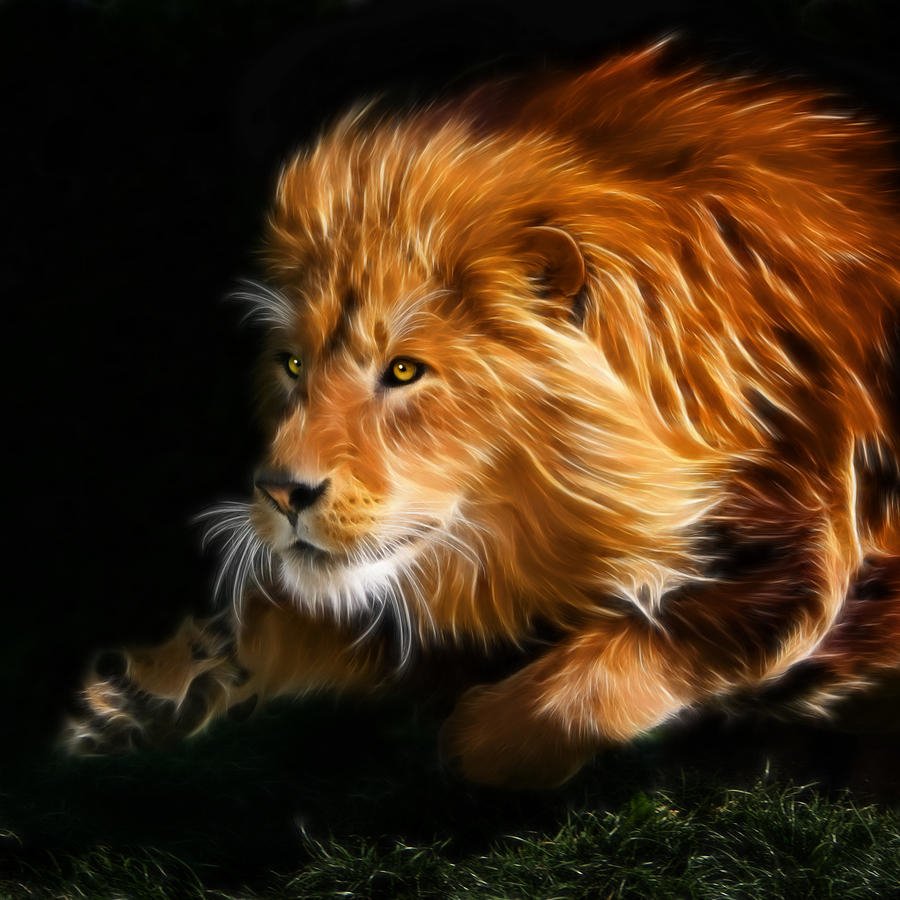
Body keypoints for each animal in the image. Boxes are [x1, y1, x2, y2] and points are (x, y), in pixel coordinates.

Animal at [62, 43, 900, 788]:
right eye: (293, 365)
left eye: (404, 370)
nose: (280, 493)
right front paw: (159, 693)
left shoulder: (804, 540)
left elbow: (621, 657)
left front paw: (465, 731)